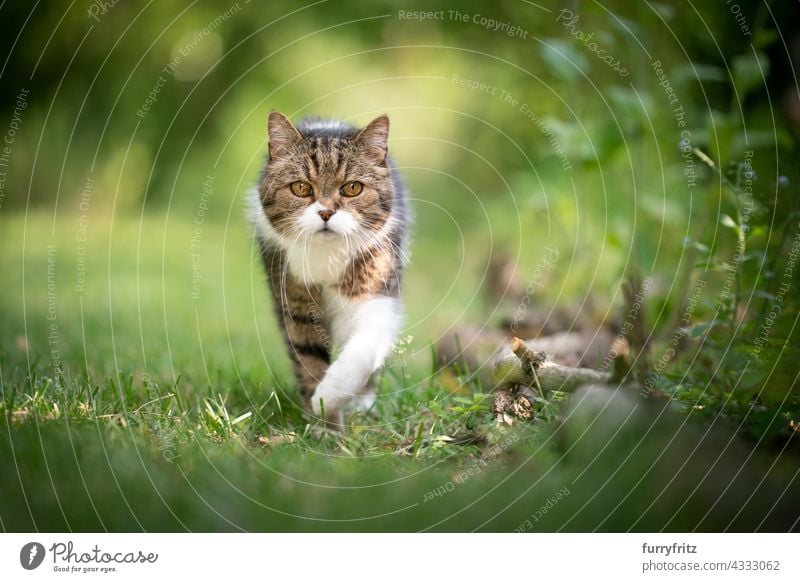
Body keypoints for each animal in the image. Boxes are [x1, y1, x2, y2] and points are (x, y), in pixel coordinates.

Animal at [248, 110, 412, 428]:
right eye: (301, 188)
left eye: (352, 188)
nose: (325, 212)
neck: (326, 256)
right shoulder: (294, 305)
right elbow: (308, 358)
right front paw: (324, 425)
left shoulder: (378, 292)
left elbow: (363, 350)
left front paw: (330, 397)